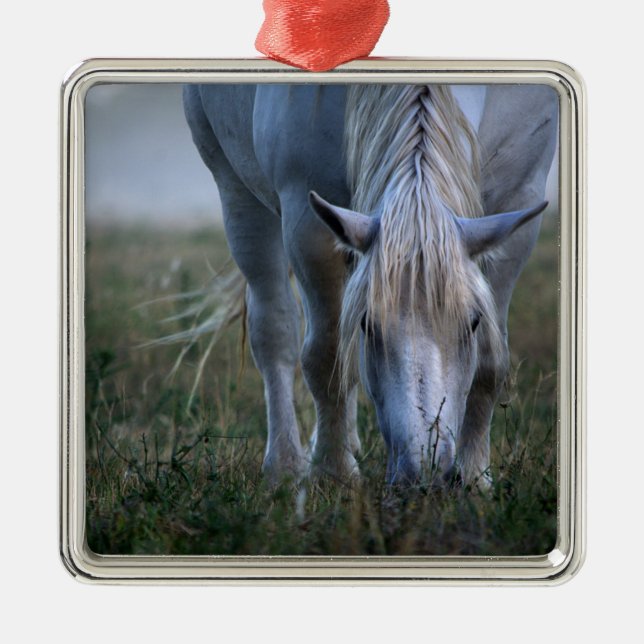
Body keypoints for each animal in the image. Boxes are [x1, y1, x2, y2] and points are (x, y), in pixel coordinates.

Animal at [182, 82, 558, 487]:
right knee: (274, 330)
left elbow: (490, 362)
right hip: (238, 193)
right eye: (367, 324)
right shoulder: (306, 217)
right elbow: (327, 355)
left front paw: (474, 477)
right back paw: (286, 466)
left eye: (472, 323)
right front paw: (334, 474)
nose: (423, 473)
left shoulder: (519, 201)